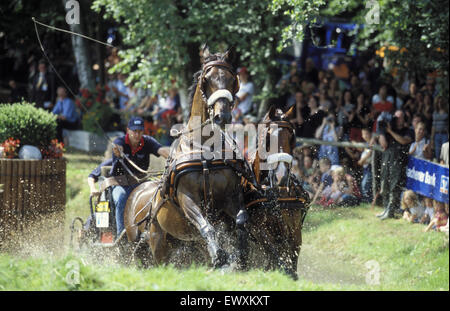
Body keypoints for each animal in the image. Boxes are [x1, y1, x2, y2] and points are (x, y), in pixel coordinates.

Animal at [123, 47, 250, 270]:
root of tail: (137, 192)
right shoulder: (187, 197)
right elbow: (205, 224)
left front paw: (240, 254)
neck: (205, 151)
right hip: (155, 243)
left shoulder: (230, 195)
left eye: (232, 79)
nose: (222, 116)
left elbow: (241, 220)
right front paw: (219, 255)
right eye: (207, 79)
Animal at [244, 105, 312, 280]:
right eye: (268, 138)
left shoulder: (294, 228)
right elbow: (273, 254)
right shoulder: (258, 229)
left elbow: (293, 255)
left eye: (291, 137)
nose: (281, 175)